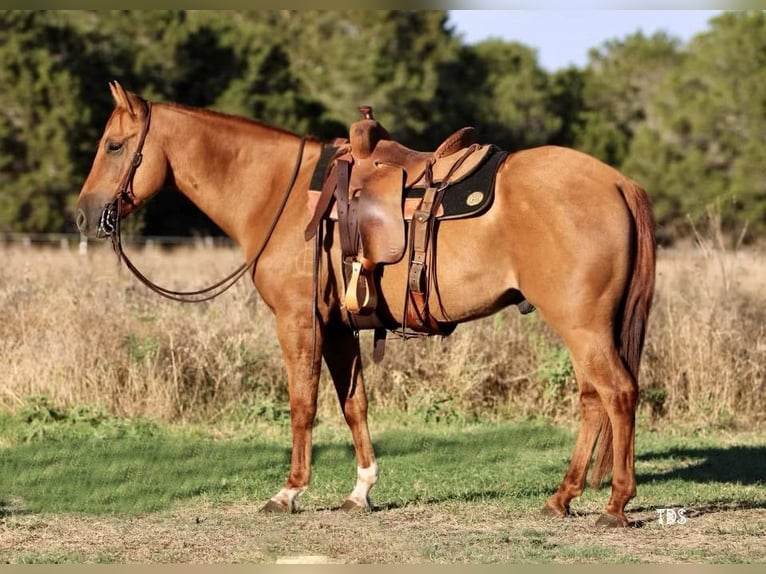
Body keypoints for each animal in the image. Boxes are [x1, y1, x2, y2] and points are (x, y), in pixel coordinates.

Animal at [75, 80, 656, 528]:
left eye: (114, 146)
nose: (83, 215)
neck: (278, 194)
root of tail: (617, 182)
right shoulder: (338, 328)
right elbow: (354, 404)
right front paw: (361, 491)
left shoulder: (299, 323)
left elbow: (303, 405)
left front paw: (289, 492)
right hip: (583, 328)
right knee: (592, 400)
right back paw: (562, 497)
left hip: (581, 325)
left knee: (618, 394)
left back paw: (615, 504)